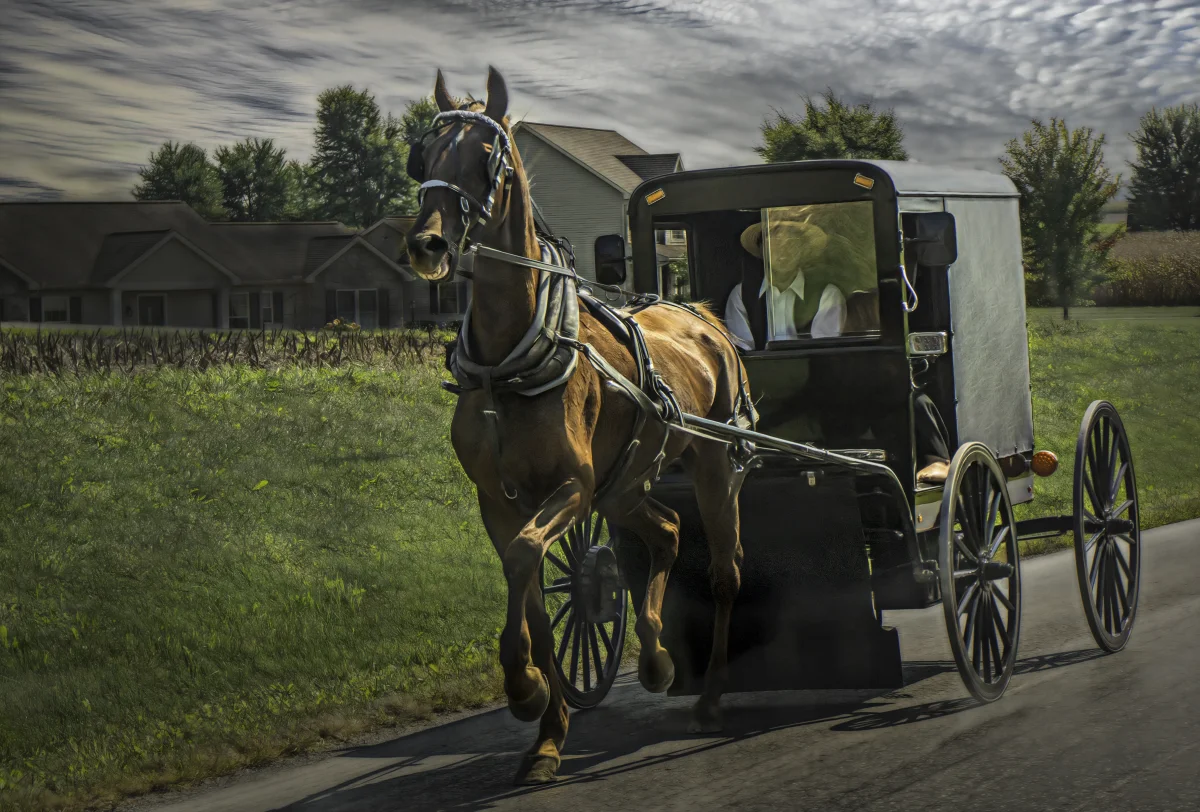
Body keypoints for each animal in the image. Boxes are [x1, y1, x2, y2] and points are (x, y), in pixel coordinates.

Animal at [404, 66, 754, 785]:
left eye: (487, 158)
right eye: (423, 156)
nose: (427, 244)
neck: (508, 363)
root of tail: (704, 317)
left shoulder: (570, 487)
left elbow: (525, 558)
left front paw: (524, 689)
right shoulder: (499, 501)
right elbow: (532, 590)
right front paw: (545, 728)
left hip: (710, 466)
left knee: (725, 572)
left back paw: (708, 698)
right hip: (624, 486)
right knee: (667, 531)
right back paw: (657, 658)